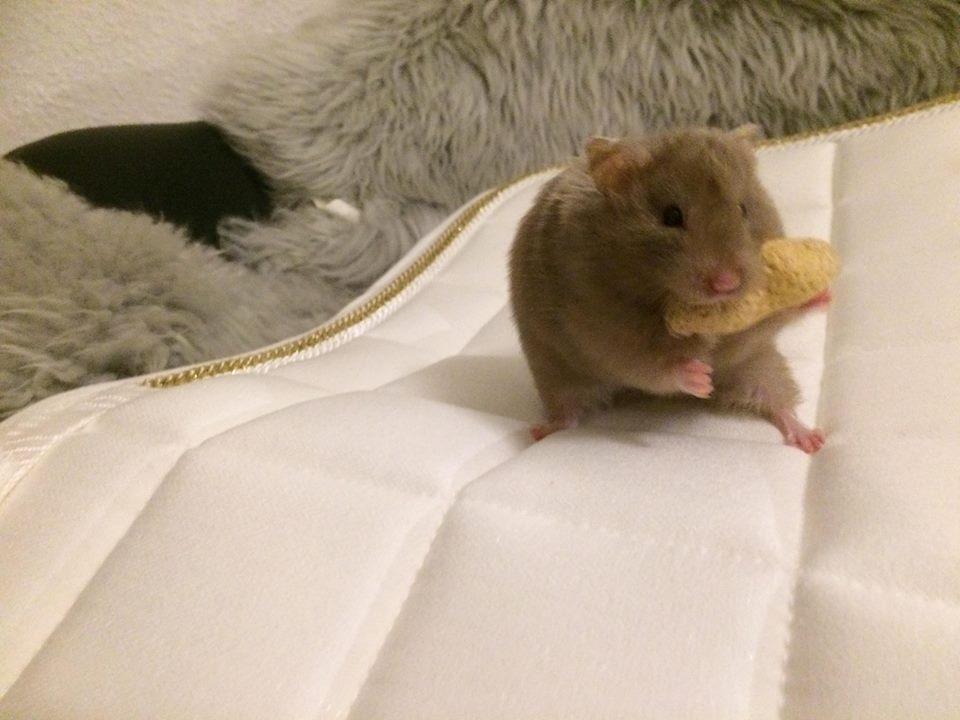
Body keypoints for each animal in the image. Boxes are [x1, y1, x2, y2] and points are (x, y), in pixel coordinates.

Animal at [509, 126, 827, 453]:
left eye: (743, 209)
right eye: (671, 216)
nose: (727, 284)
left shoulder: (746, 334)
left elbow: (769, 321)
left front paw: (821, 294)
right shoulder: (604, 334)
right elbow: (654, 366)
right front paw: (700, 377)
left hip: (760, 366)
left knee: (779, 402)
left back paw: (813, 440)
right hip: (558, 374)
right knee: (567, 412)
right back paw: (539, 432)